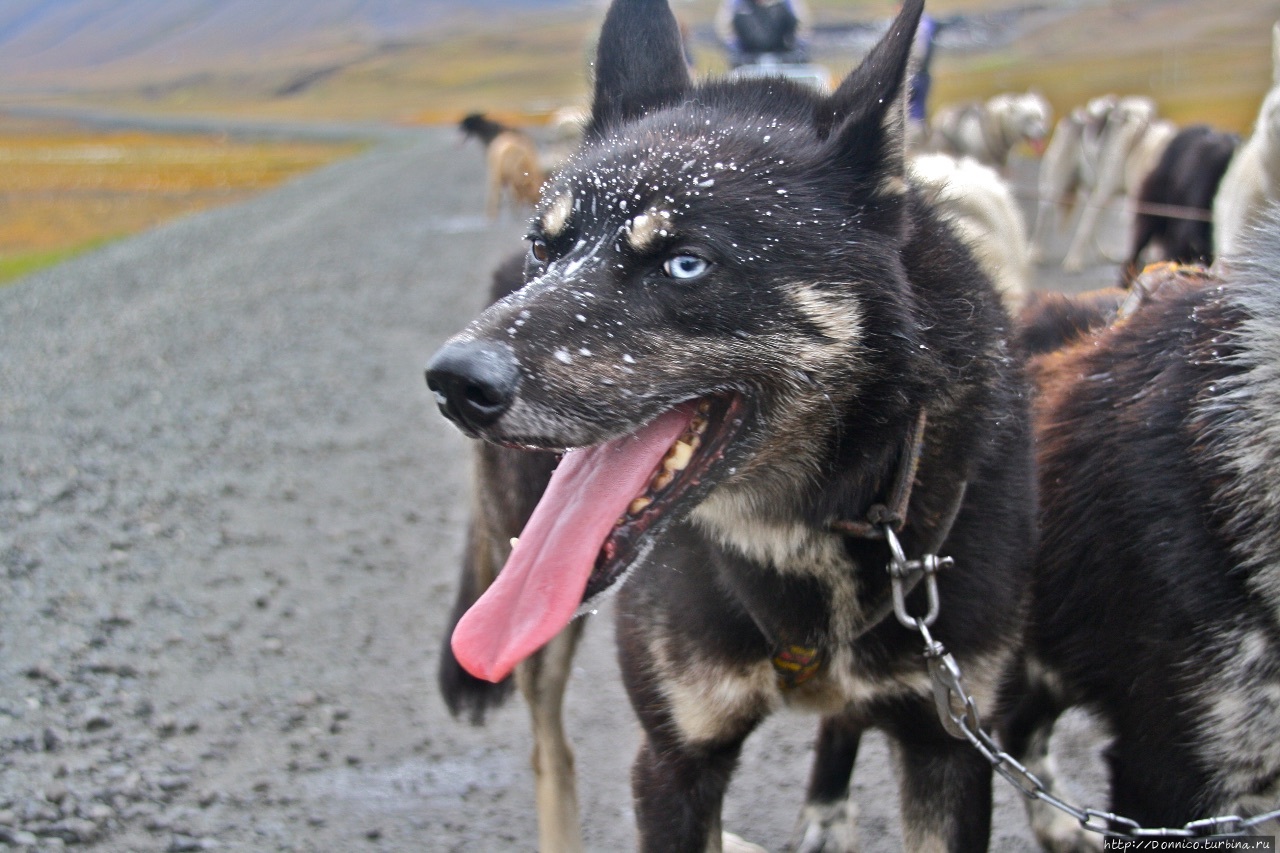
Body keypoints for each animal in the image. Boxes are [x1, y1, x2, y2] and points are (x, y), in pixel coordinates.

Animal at [424, 0, 1034, 845]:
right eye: (547, 246)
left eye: (685, 263)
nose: (455, 380)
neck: (805, 532)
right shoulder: (675, 759)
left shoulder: (949, 750)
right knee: (552, 753)